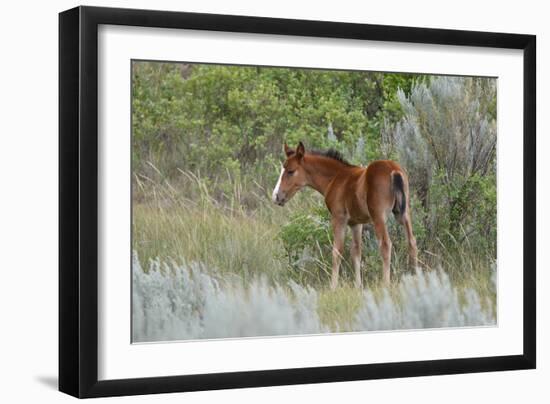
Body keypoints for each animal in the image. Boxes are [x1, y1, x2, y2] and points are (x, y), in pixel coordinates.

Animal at [274, 140, 420, 288]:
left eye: (290, 171)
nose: (276, 196)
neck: (336, 178)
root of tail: (393, 170)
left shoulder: (339, 218)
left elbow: (337, 251)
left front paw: (333, 287)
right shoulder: (356, 223)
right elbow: (356, 252)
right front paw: (358, 286)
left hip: (379, 217)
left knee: (385, 245)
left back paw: (386, 284)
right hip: (404, 214)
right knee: (412, 242)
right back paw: (416, 278)